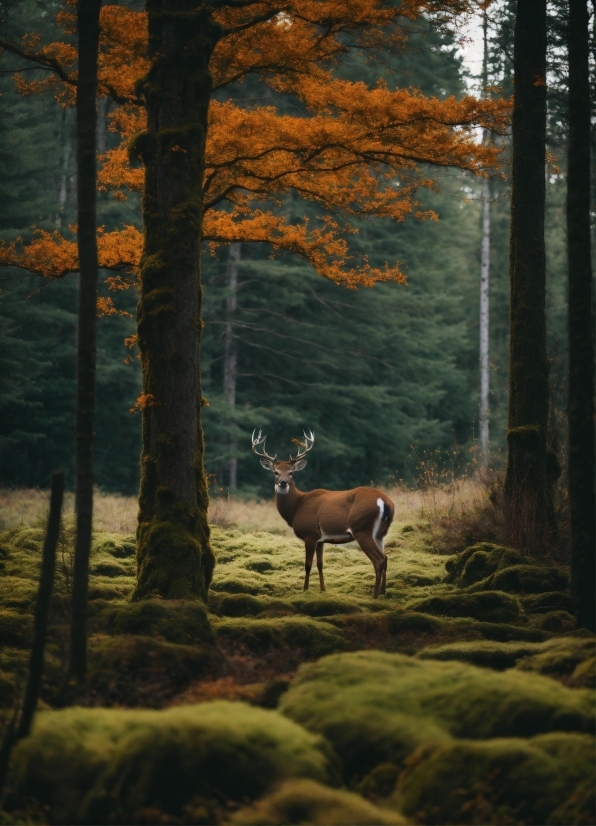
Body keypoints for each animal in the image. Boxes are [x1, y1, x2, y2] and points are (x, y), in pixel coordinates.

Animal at [253, 428, 396, 596]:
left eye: (291, 472)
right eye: (275, 472)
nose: (283, 483)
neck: (296, 508)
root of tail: (384, 501)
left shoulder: (310, 533)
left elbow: (307, 565)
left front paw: (305, 590)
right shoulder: (321, 539)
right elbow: (320, 564)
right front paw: (322, 590)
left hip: (362, 528)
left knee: (379, 560)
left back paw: (375, 595)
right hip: (380, 533)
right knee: (386, 557)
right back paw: (384, 593)